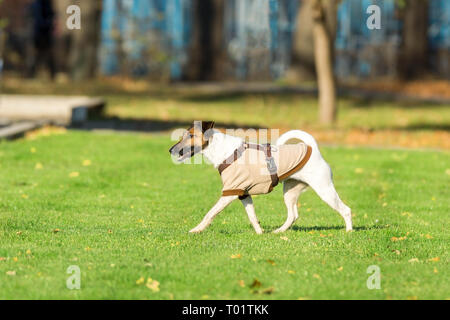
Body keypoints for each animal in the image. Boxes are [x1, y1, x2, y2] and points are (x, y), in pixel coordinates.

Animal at [168, 121, 352, 234]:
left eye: (190, 136)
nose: (170, 150)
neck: (221, 150)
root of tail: (312, 149)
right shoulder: (243, 193)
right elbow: (252, 216)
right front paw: (260, 233)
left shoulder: (229, 192)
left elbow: (210, 213)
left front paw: (196, 230)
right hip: (290, 191)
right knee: (293, 215)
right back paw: (279, 232)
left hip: (324, 189)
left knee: (346, 210)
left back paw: (349, 232)